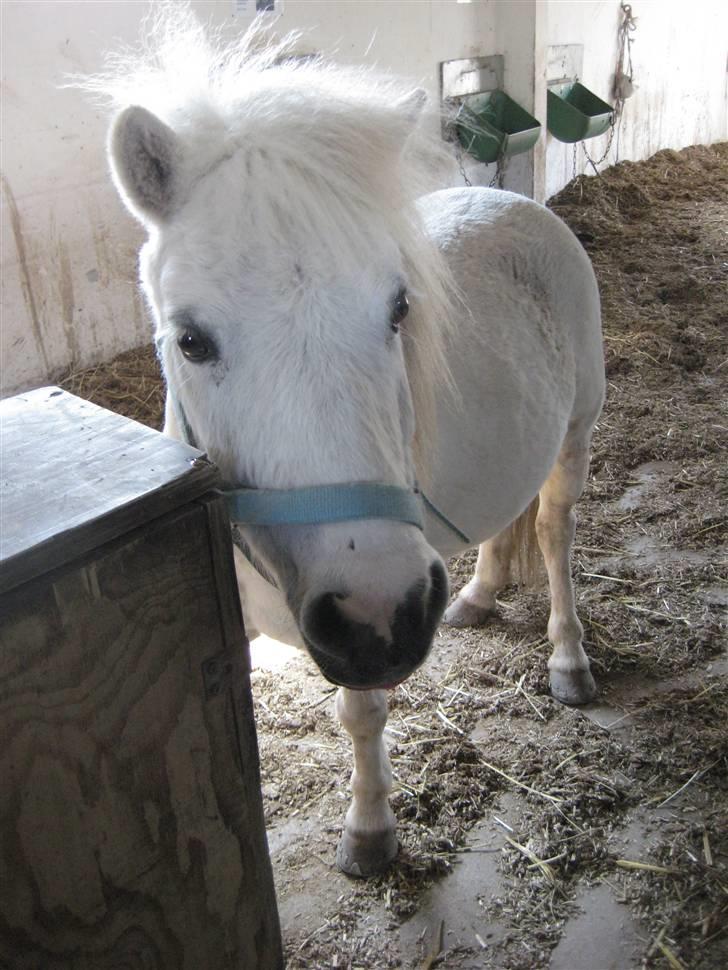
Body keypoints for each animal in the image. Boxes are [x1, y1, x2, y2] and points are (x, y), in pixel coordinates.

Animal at [96, 7, 605, 878]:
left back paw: (567, 657)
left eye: (399, 308)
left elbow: (362, 717)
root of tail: (518, 203)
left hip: (574, 437)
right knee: (507, 524)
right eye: (190, 340)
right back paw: (478, 594)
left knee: (553, 533)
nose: (383, 613)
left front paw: (370, 830)